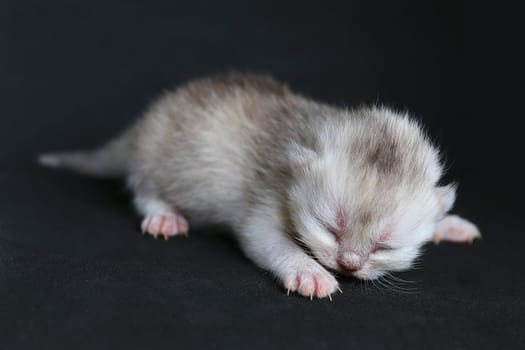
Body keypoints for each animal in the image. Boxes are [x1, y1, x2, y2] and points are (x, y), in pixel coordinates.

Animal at [37, 72, 478, 300]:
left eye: (385, 246)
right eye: (330, 228)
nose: (348, 264)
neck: (309, 128)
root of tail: (142, 127)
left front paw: (448, 224)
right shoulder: (267, 191)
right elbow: (264, 238)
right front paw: (309, 272)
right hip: (155, 158)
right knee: (143, 189)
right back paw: (163, 215)